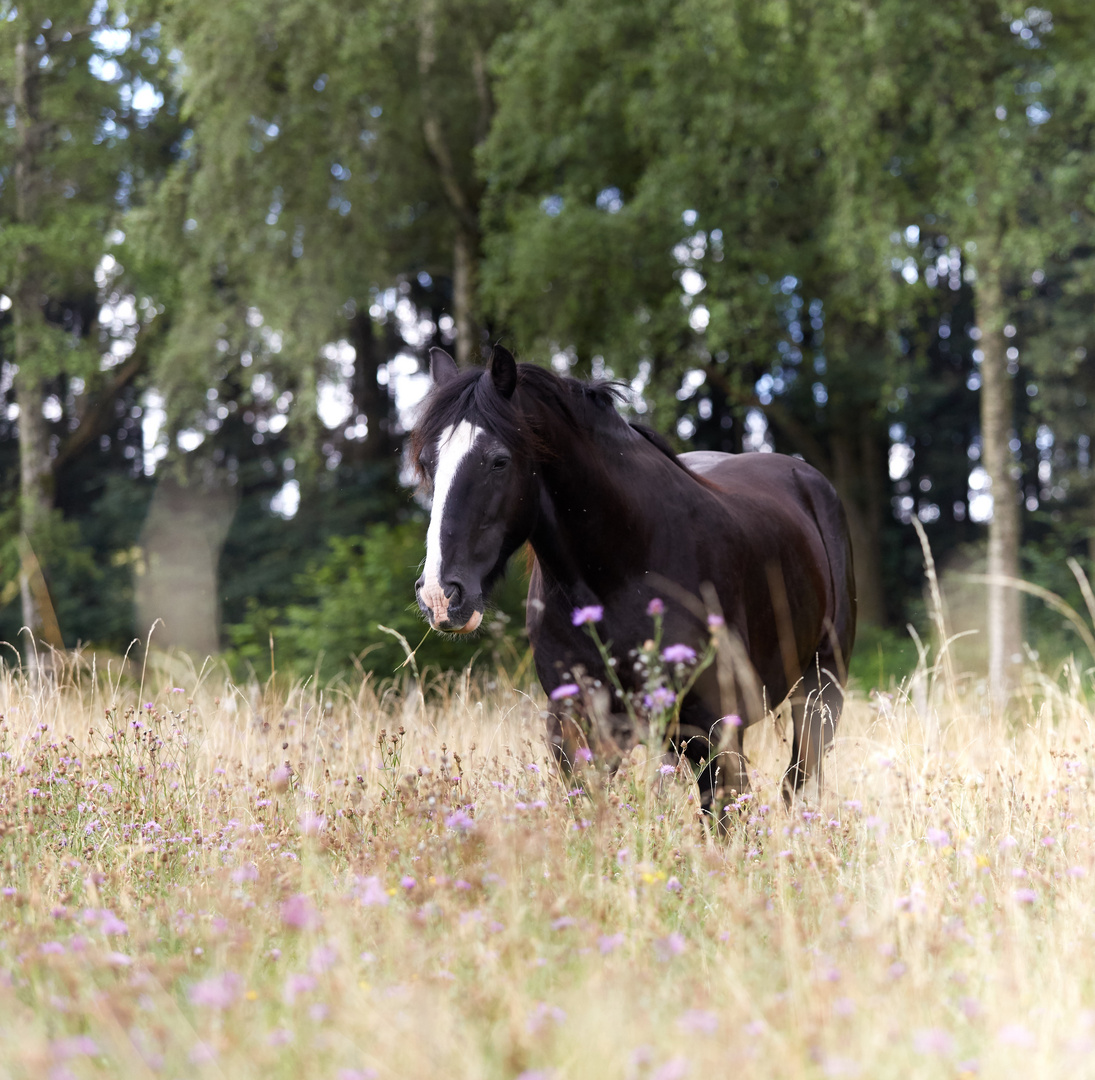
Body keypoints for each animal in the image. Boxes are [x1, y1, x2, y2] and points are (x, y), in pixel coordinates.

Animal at [411, 341, 854, 806]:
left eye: (498, 462)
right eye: (426, 462)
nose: (440, 595)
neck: (621, 570)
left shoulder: (716, 730)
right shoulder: (577, 731)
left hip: (821, 690)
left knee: (800, 781)